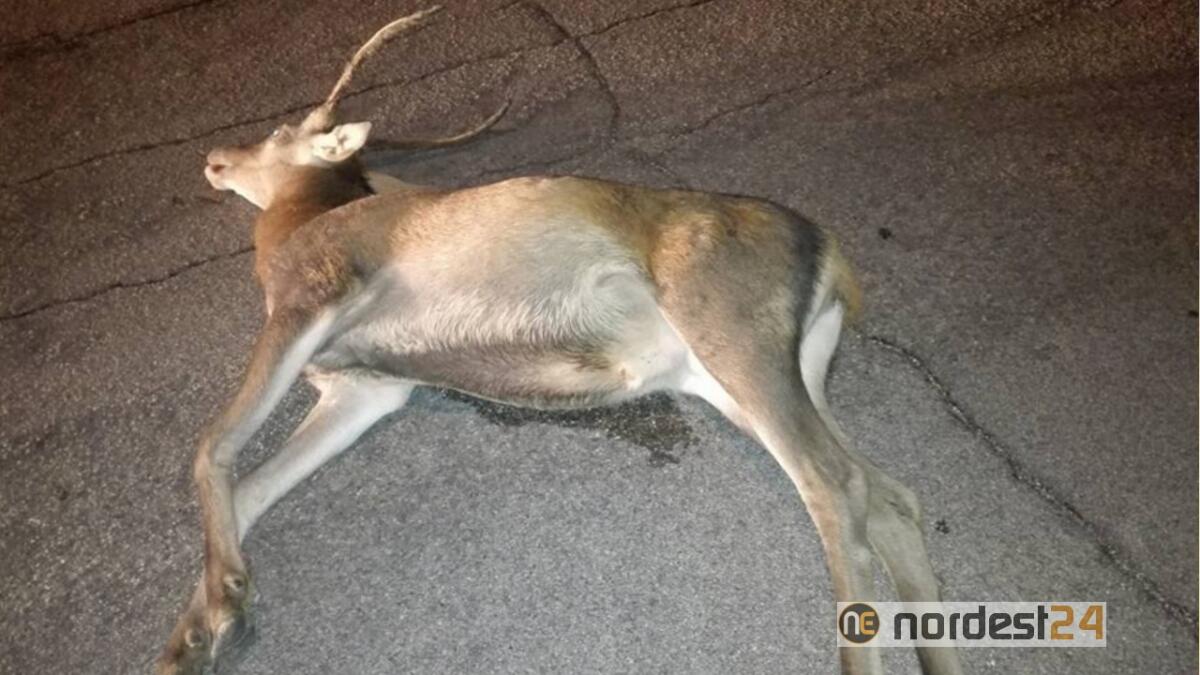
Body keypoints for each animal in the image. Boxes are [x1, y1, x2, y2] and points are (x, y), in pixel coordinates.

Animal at [156, 7, 961, 675]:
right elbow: (253, 487)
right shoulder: (367, 388)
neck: (298, 225)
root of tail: (831, 252)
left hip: (733, 335)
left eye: (281, 133)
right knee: (891, 494)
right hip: (748, 377)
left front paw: (225, 600)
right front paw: (186, 641)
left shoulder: (315, 296)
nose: (214, 157)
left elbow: (211, 446)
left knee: (833, 484)